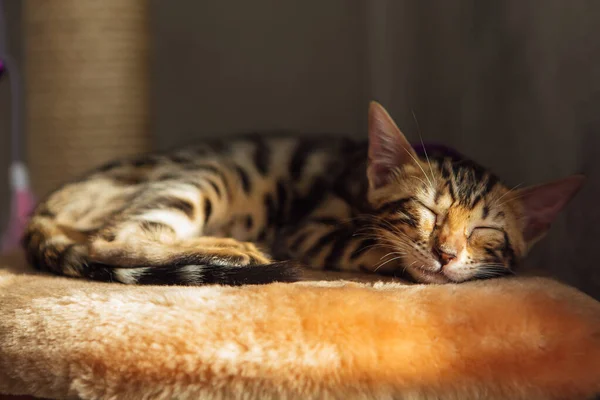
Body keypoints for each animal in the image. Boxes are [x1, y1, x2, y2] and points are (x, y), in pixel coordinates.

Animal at [22, 102, 580, 284]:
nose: (445, 253)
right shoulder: (310, 229)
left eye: (485, 229)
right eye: (424, 209)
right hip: (209, 173)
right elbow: (371, 248)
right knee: (112, 238)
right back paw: (233, 249)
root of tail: (49, 206)